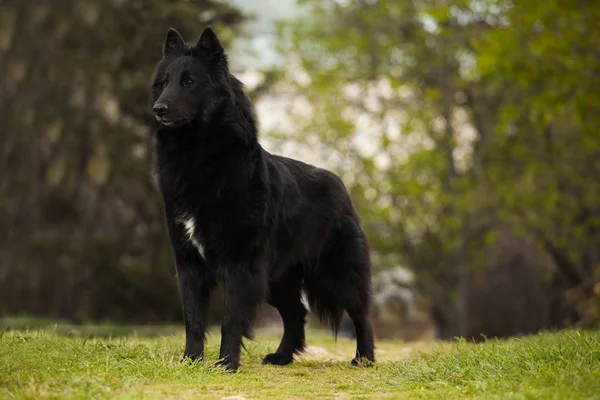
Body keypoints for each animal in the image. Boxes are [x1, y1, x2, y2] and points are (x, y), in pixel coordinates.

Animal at [151, 27, 376, 372]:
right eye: (164, 82)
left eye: (188, 82)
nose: (158, 109)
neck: (199, 155)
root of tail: (338, 182)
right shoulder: (189, 263)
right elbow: (193, 319)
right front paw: (190, 361)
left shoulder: (240, 265)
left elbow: (231, 320)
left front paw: (226, 364)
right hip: (276, 279)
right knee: (297, 313)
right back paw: (282, 357)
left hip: (333, 275)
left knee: (361, 313)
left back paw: (364, 358)